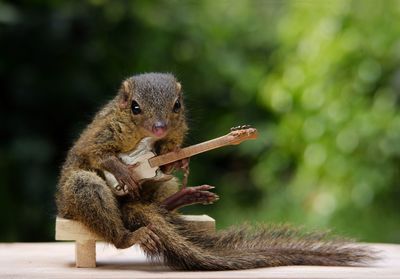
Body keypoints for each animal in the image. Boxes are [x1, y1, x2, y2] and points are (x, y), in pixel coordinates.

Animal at [54, 72, 374, 272]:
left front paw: (176, 162)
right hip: (80, 192)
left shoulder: (169, 143)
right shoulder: (103, 132)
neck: (144, 140)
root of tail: (128, 207)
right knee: (104, 211)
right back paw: (129, 235)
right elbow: (95, 152)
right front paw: (121, 170)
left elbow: (166, 162)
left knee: (160, 199)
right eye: (134, 107)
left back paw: (182, 198)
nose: (160, 128)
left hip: (161, 187)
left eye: (177, 105)